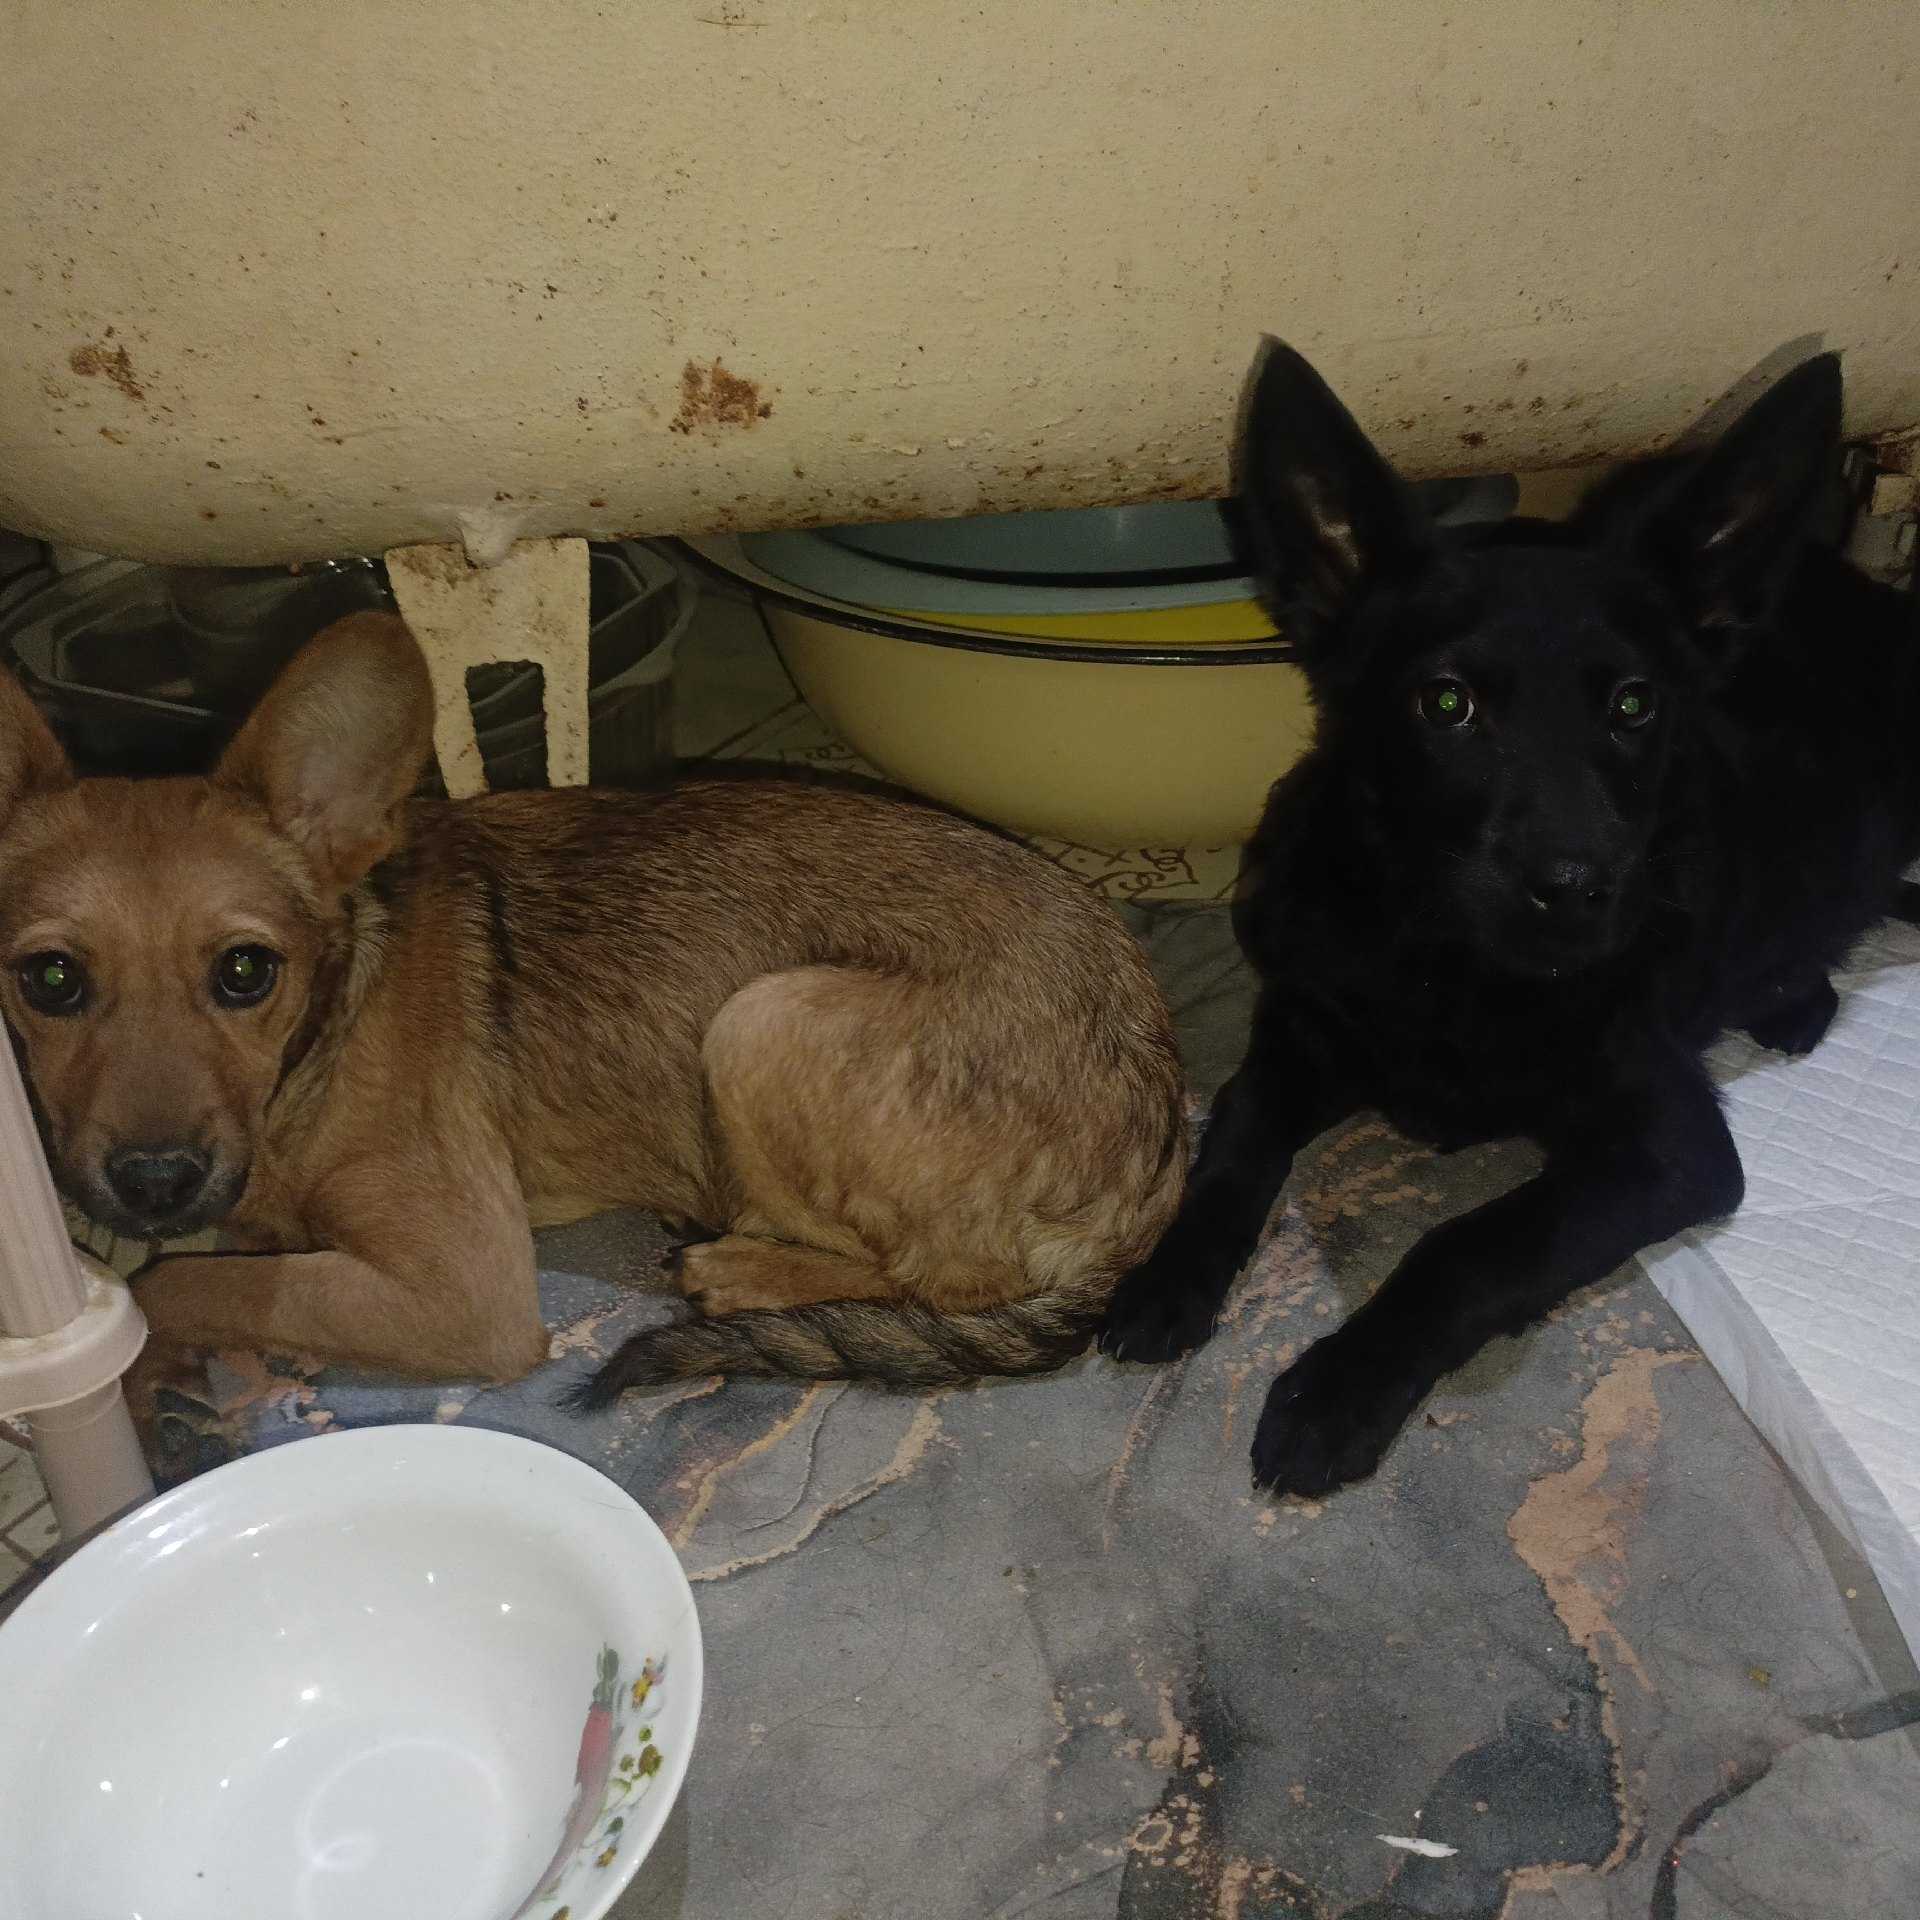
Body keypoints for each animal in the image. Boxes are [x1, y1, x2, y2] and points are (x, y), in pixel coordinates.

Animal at [0, 612, 1186, 1404]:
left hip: (766, 1019)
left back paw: (748, 1268)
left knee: (950, 1284)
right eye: (49, 981)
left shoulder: (466, 1295)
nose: (153, 1186)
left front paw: (150, 1378)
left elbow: (188, 1292)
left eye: (246, 972)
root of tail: (1157, 1162)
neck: (321, 1036)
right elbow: (213, 1266)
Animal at [1101, 339, 1920, 1497]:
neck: (1456, 971)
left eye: (1634, 706)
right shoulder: (1305, 1027)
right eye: (1446, 703)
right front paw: (1172, 1272)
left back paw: (1795, 998)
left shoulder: (1670, 1148)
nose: (1575, 888)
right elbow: (1234, 1141)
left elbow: (1471, 1247)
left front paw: (1339, 1389)